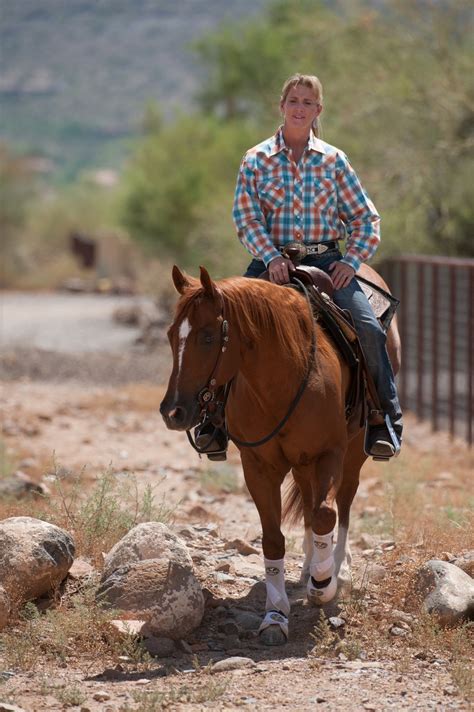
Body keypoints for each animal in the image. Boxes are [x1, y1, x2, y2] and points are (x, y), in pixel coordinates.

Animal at [160, 266, 400, 644]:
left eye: (209, 337)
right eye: (171, 334)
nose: (173, 412)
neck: (282, 380)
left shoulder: (330, 453)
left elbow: (326, 514)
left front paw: (323, 585)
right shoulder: (258, 466)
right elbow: (274, 539)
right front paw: (275, 615)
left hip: (353, 451)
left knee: (342, 503)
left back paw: (338, 569)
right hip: (301, 463)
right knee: (308, 500)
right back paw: (308, 568)